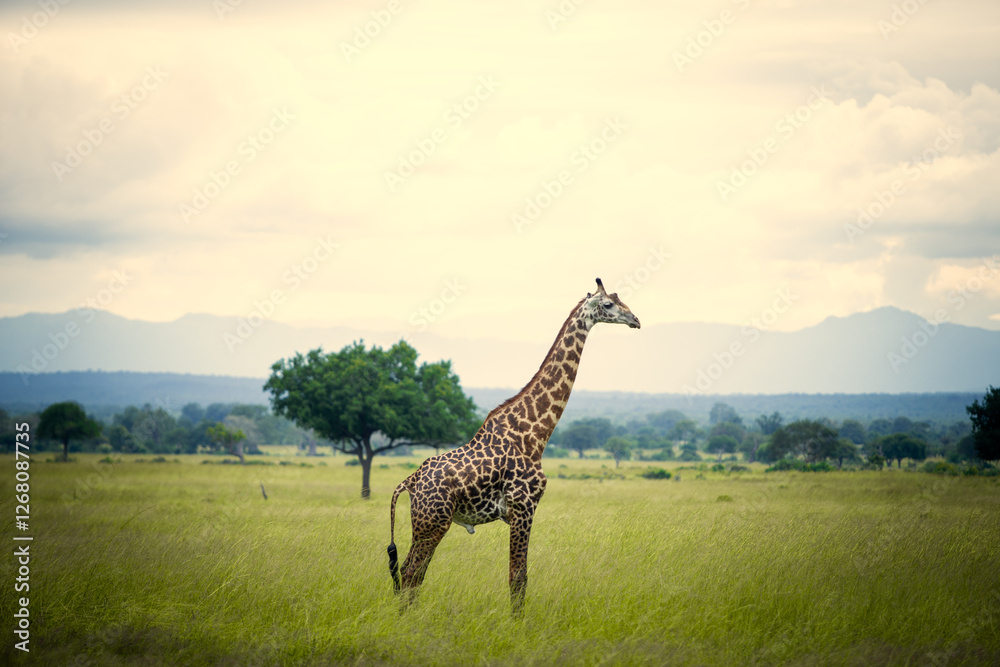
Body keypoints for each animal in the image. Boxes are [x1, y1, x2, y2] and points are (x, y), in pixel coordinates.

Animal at [387, 278, 640, 615]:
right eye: (609, 304)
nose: (636, 320)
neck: (535, 434)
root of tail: (410, 482)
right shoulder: (523, 506)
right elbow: (518, 577)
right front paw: (517, 624)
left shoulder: (523, 510)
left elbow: (518, 576)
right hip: (434, 521)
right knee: (412, 570)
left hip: (426, 522)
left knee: (409, 570)